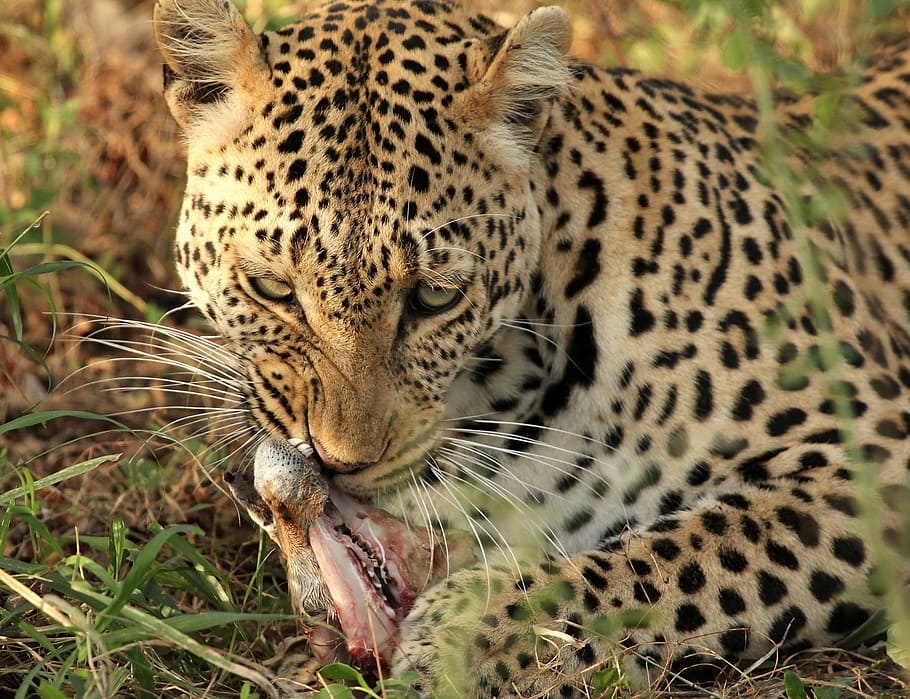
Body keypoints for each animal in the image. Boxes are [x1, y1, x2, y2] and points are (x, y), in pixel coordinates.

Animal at [153, 0, 910, 695]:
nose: (337, 462)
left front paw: (466, 640)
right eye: (272, 287)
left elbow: (667, 561)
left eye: (434, 298)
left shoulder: (871, 455)